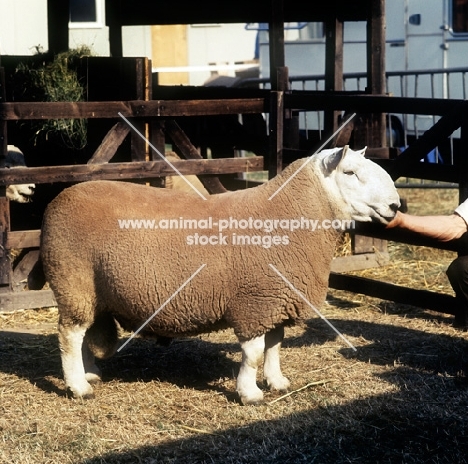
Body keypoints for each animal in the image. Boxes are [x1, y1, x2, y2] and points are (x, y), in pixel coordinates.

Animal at [41, 145, 398, 402]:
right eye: (350, 172)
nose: (395, 205)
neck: (289, 212)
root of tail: (60, 199)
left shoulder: (275, 300)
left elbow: (275, 345)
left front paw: (277, 382)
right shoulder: (256, 300)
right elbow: (253, 353)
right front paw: (250, 393)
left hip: (93, 290)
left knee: (84, 333)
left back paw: (89, 373)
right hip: (72, 279)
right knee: (70, 336)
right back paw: (78, 387)